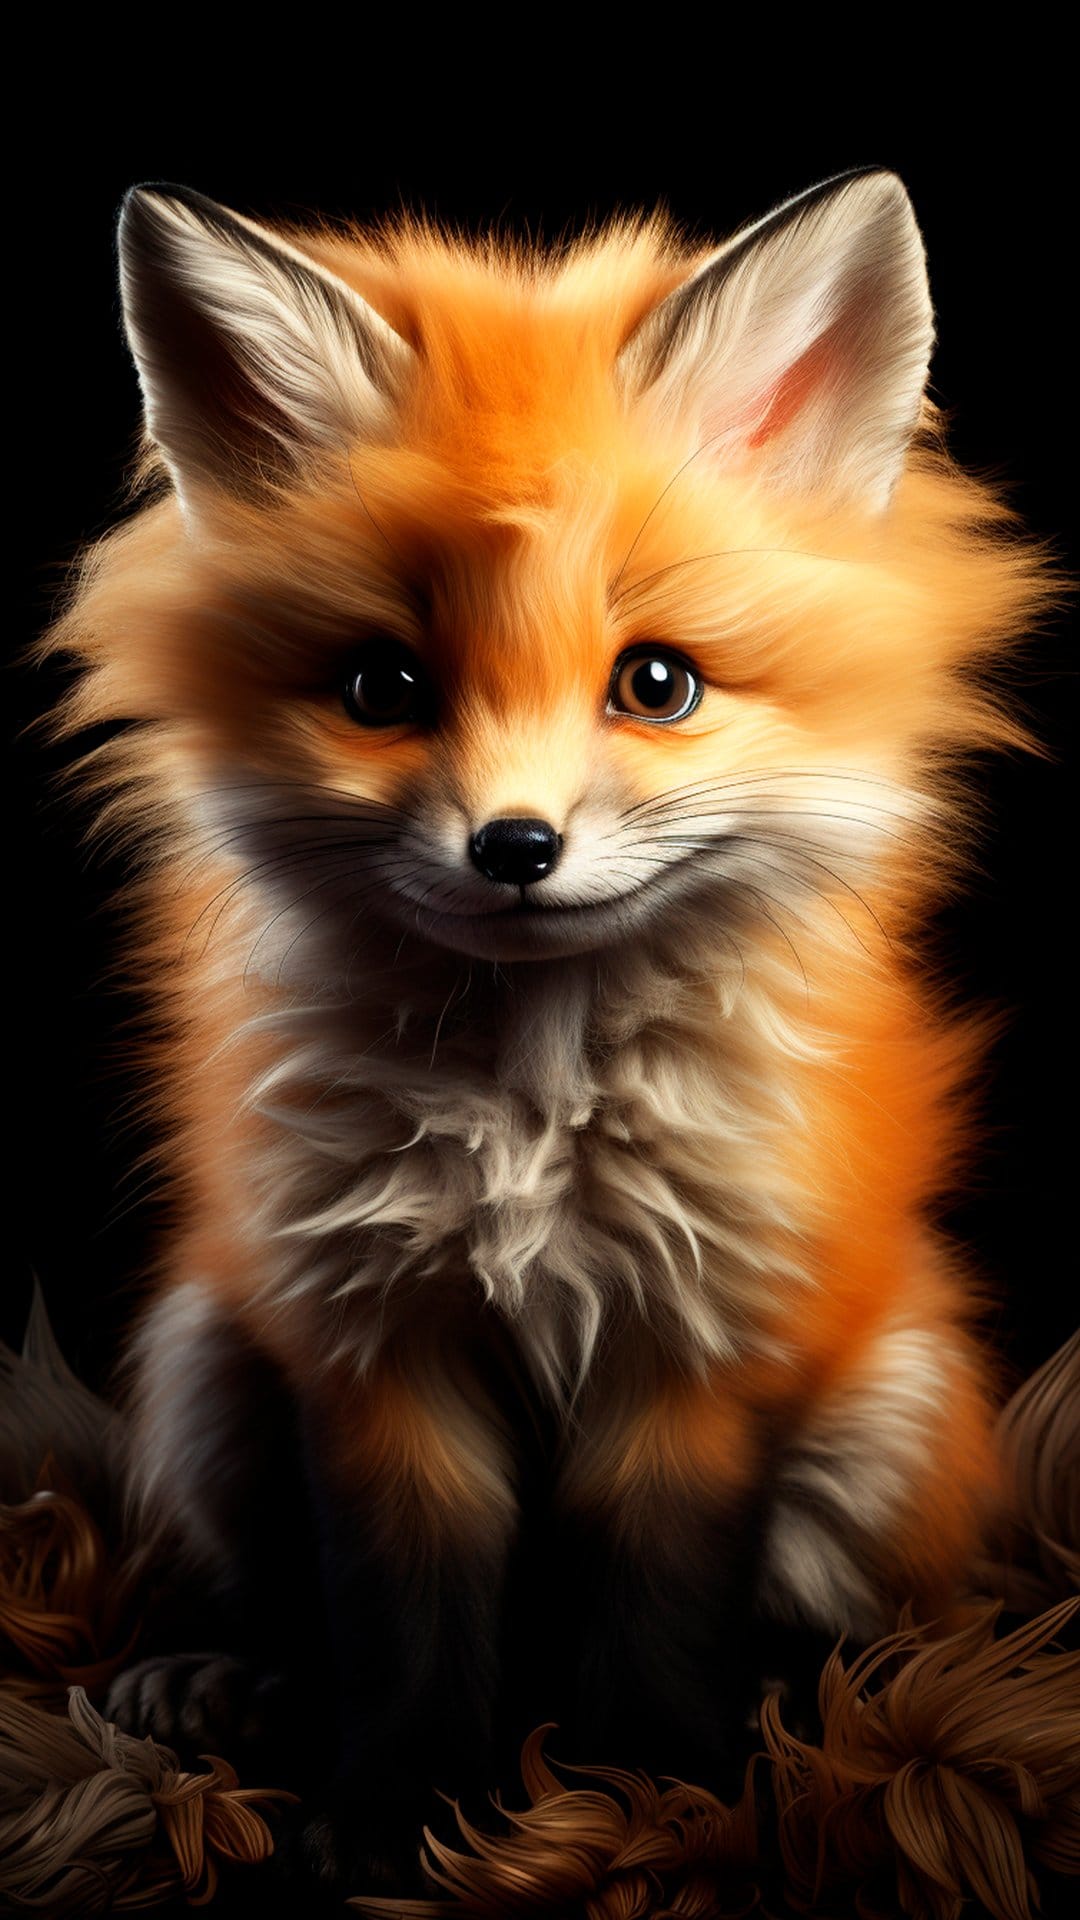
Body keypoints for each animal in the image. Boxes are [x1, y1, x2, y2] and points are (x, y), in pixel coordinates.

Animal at [37, 169, 1053, 1894]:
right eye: (383, 685)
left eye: (657, 683)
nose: (513, 847)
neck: (531, 1120)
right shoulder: (370, 1342)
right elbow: (400, 1629)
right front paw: (399, 1825)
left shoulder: (696, 1344)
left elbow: (654, 1619)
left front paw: (645, 1820)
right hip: (206, 1368)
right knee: (281, 1604)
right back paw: (224, 1681)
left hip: (888, 1415)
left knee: (830, 1626)